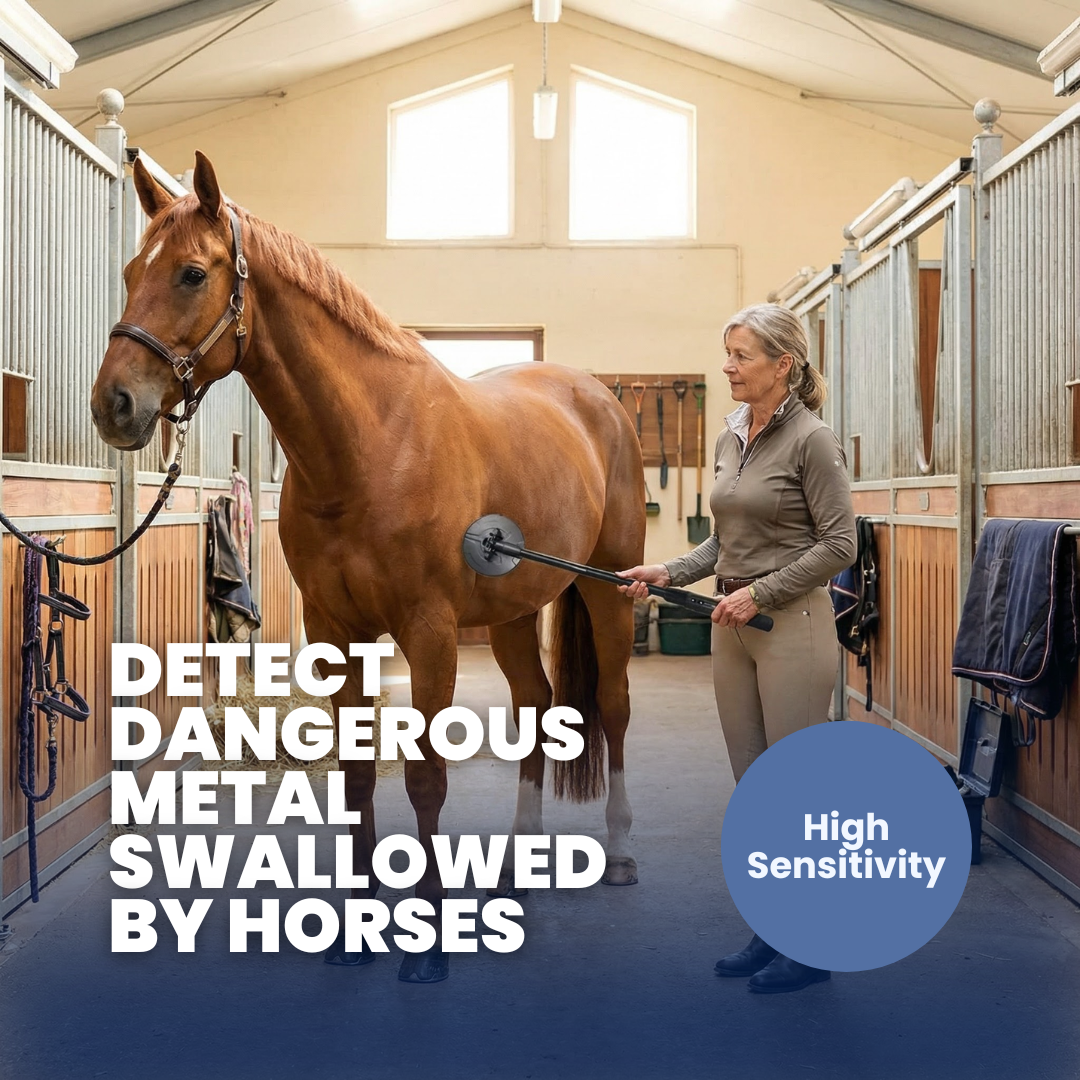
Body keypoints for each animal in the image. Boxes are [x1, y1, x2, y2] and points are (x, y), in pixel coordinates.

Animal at [91, 152, 645, 983]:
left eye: (190, 273)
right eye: (130, 271)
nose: (114, 404)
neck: (371, 446)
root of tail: (597, 396)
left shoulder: (430, 633)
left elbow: (424, 776)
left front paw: (428, 943)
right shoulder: (336, 630)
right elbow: (355, 776)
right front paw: (354, 933)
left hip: (609, 591)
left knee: (610, 708)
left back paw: (617, 853)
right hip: (513, 613)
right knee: (536, 706)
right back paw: (516, 867)